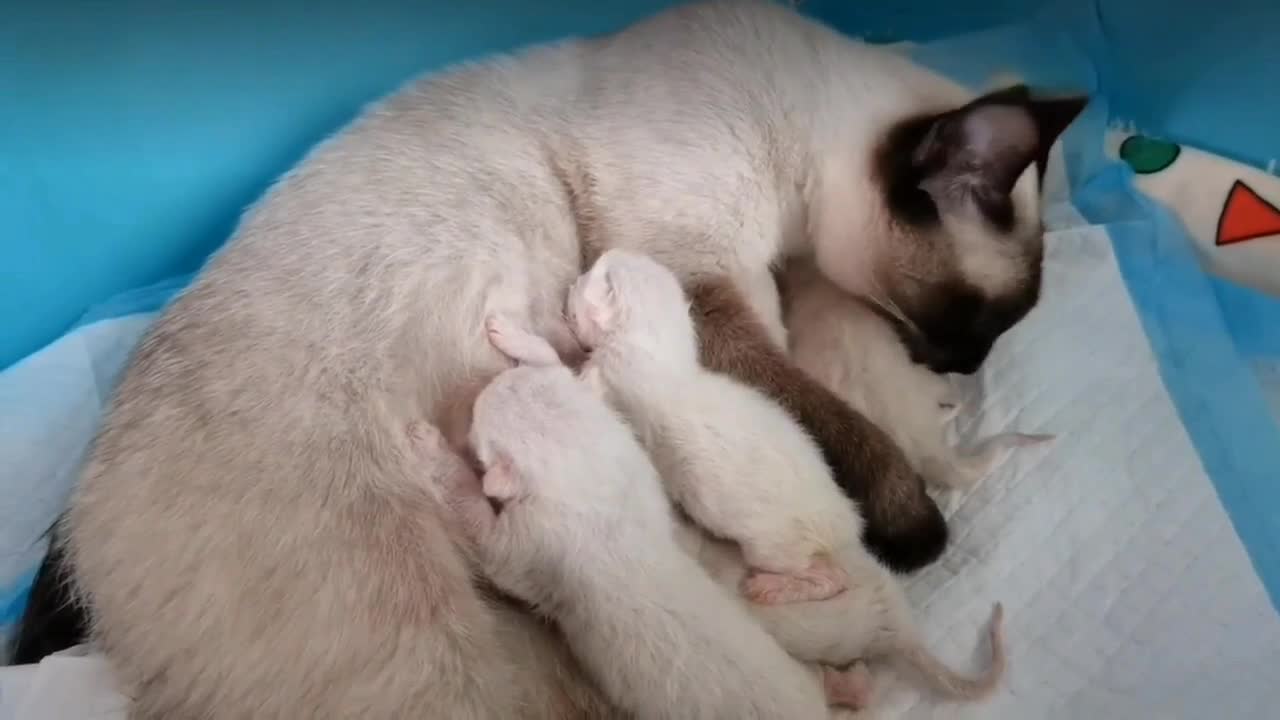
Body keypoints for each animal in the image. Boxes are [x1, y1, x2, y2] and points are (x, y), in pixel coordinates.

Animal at [442, 363, 870, 717]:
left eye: (482, 409)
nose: (478, 383)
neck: (597, 488)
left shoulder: (539, 538)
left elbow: (495, 552)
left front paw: (437, 449)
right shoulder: (632, 466)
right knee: (822, 678)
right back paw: (849, 684)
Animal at [488, 249, 860, 602]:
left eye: (582, 283)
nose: (570, 284)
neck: (662, 351)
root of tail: (848, 522)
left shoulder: (612, 382)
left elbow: (557, 369)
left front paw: (514, 337)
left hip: (775, 545)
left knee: (834, 577)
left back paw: (775, 587)